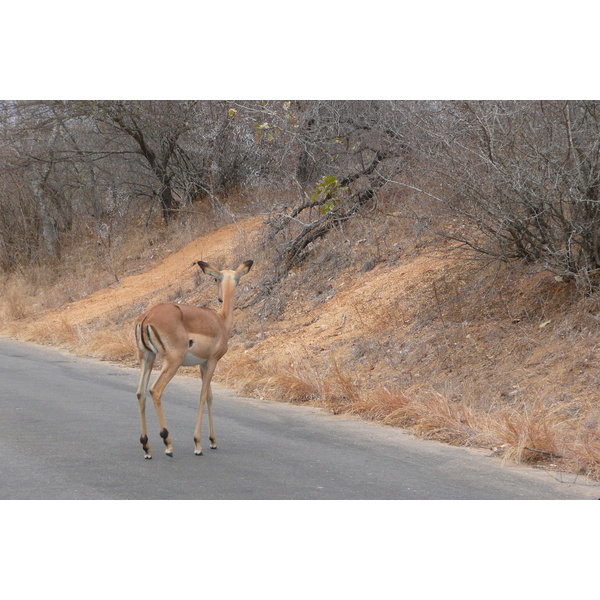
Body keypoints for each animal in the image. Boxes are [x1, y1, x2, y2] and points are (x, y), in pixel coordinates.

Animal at [134, 258, 253, 460]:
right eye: (215, 279)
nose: (220, 298)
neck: (221, 321)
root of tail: (147, 316)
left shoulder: (203, 365)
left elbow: (210, 397)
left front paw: (213, 441)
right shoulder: (212, 362)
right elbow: (203, 396)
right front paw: (198, 444)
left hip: (147, 357)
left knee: (140, 392)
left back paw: (146, 447)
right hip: (172, 361)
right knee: (155, 390)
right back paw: (168, 445)